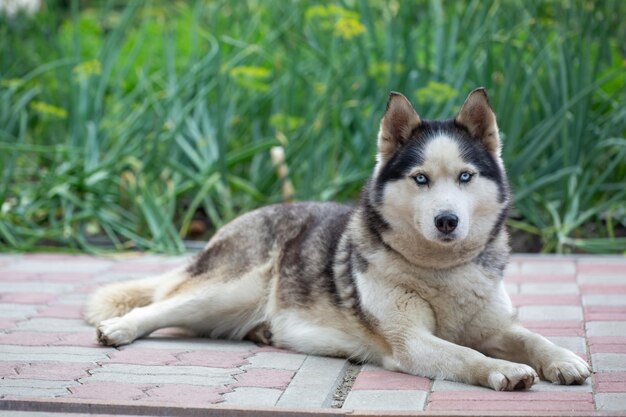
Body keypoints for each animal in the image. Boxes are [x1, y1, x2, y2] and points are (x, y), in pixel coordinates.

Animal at [85, 88, 588, 390]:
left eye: (465, 176)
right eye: (421, 179)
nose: (447, 220)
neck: (443, 273)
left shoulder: (495, 327)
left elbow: (530, 337)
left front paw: (563, 358)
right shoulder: (411, 342)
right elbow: (466, 354)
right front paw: (504, 369)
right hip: (228, 290)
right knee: (158, 308)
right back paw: (119, 329)